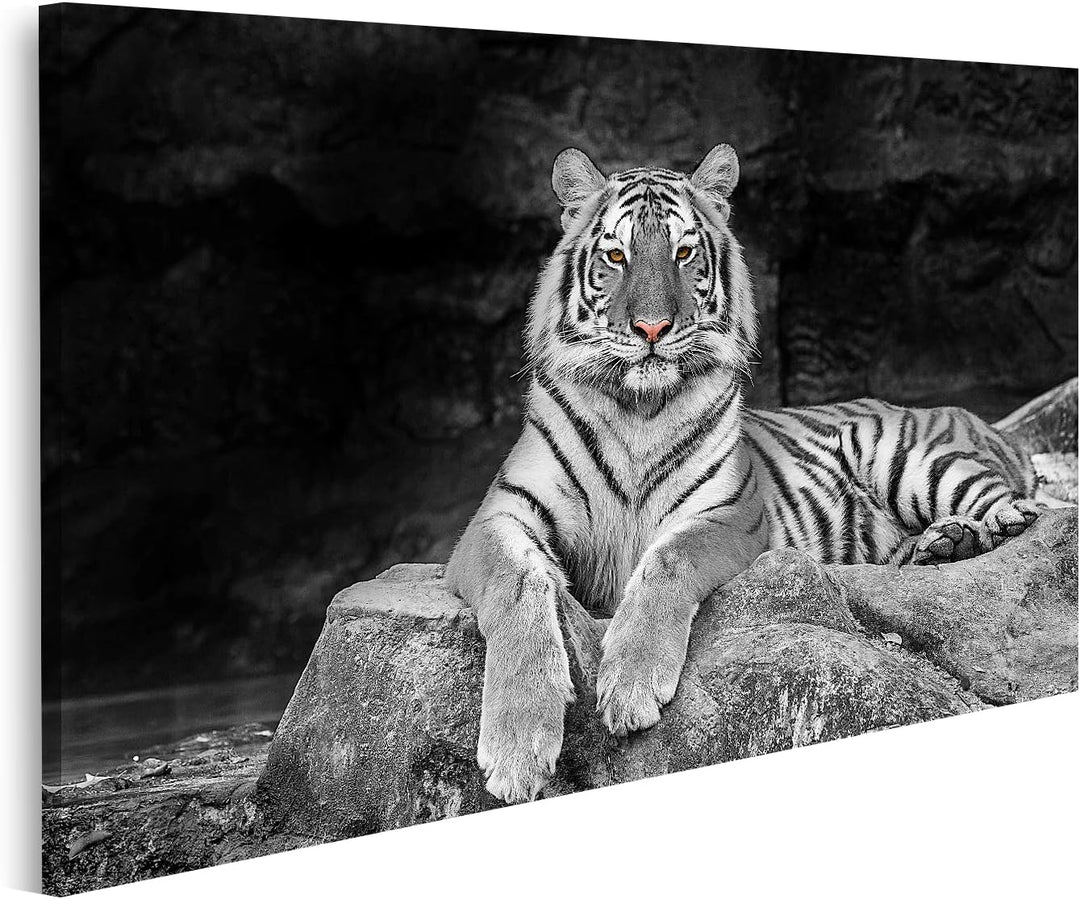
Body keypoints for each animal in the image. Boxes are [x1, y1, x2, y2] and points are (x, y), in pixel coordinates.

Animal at [445, 143, 1040, 805]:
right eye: (616, 256)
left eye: (683, 253)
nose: (652, 329)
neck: (636, 411)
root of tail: (977, 419)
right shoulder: (498, 516)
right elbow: (516, 585)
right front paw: (517, 747)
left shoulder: (729, 512)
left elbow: (669, 559)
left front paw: (630, 683)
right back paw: (940, 546)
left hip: (907, 456)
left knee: (1019, 504)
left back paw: (980, 529)